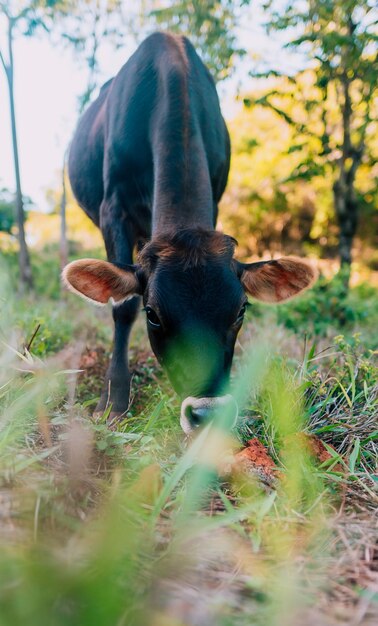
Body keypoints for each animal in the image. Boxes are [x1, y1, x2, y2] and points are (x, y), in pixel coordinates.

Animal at [62, 31, 316, 432]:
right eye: (153, 314)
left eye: (241, 310)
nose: (208, 413)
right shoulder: (112, 209)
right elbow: (122, 306)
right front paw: (114, 399)